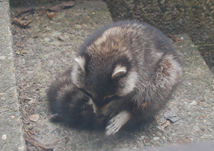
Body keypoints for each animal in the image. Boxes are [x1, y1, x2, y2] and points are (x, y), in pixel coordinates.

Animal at [47, 19, 182, 136]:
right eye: (90, 93)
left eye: (109, 97)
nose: (99, 115)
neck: (108, 47)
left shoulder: (143, 68)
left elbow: (141, 91)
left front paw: (121, 106)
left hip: (168, 68)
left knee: (156, 90)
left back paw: (129, 111)